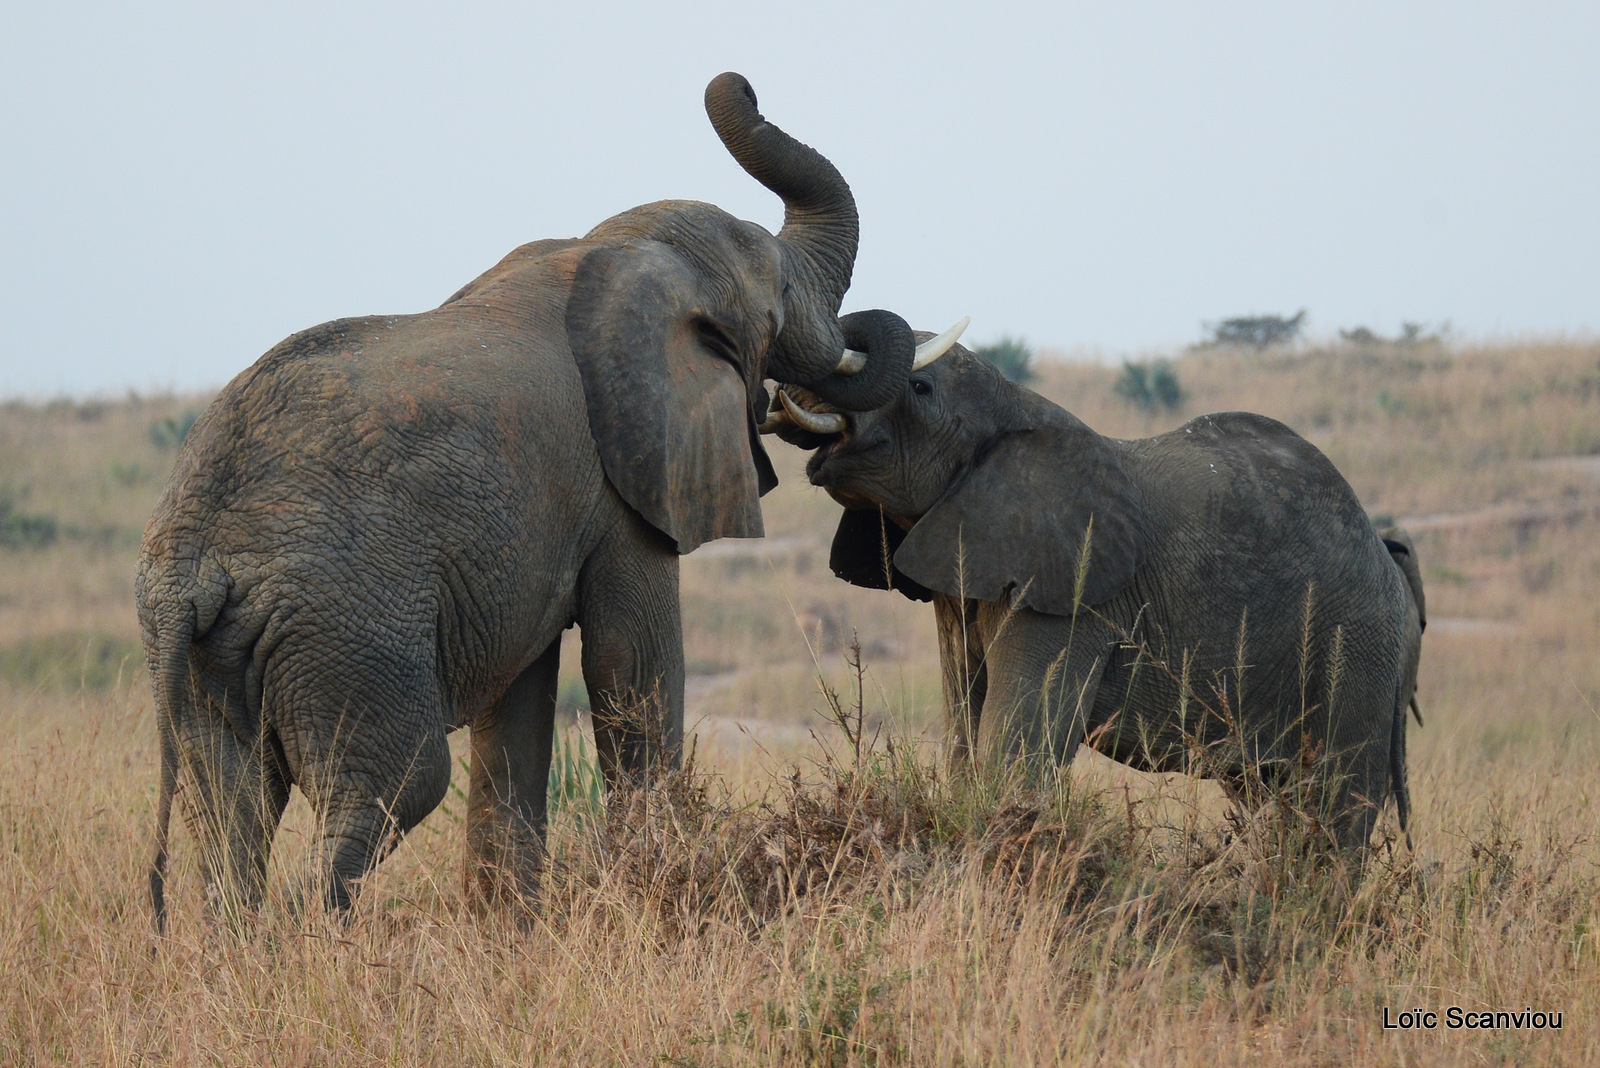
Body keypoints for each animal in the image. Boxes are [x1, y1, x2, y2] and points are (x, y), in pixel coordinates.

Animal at [137, 75, 928, 927]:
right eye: (779, 299)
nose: (740, 84)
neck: (607, 249)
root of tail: (191, 564)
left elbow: (518, 700)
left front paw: (505, 928)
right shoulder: (621, 479)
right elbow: (631, 661)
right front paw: (653, 887)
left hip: (206, 653)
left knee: (230, 812)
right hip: (346, 628)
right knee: (390, 789)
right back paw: (312, 942)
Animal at [768, 337, 1420, 844]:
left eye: (921, 387)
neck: (1016, 409)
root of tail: (1386, 556)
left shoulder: (1070, 596)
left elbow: (1013, 747)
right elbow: (963, 730)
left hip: (1356, 649)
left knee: (1338, 802)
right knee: (1271, 793)